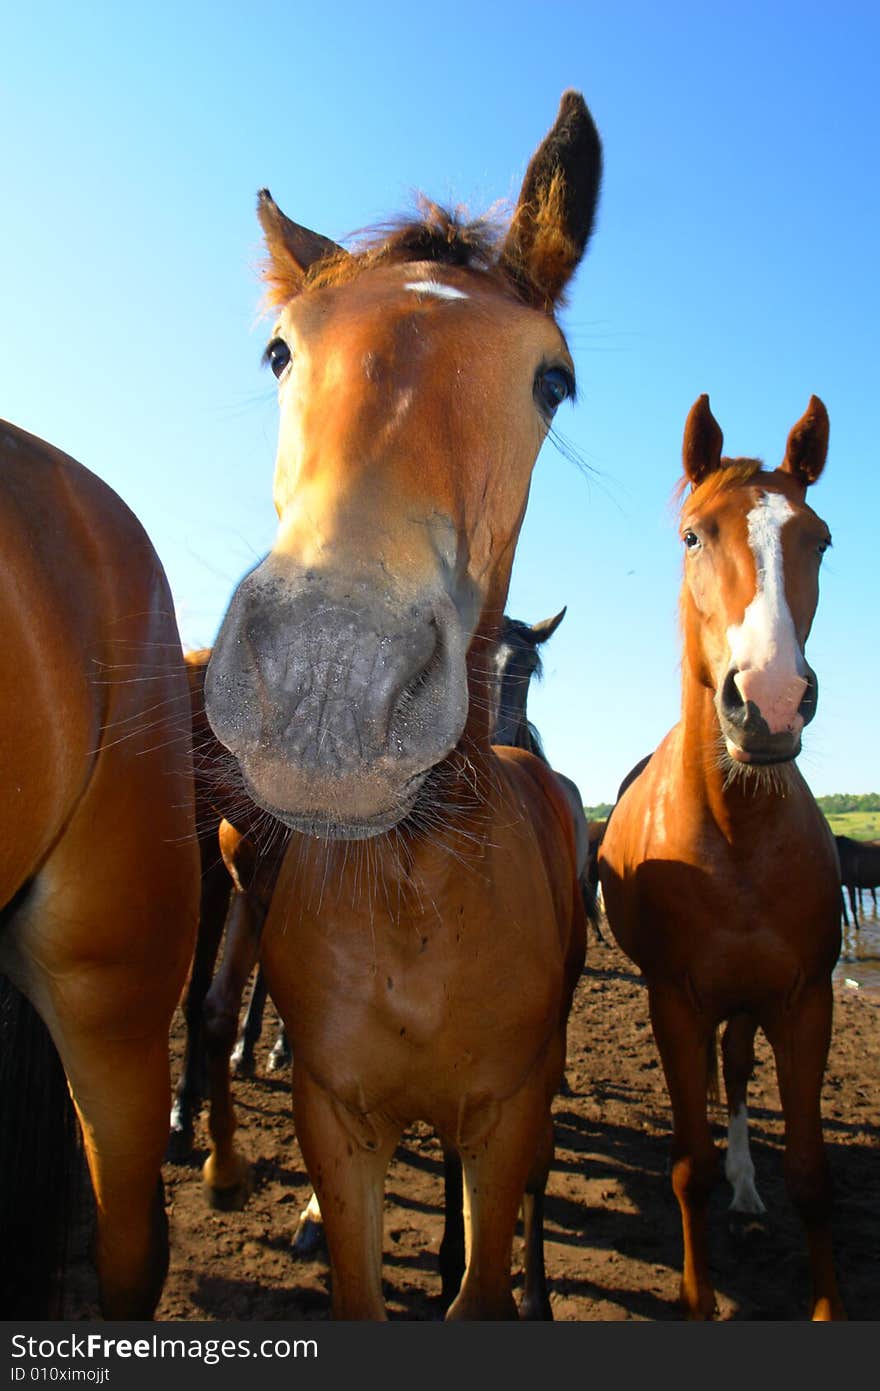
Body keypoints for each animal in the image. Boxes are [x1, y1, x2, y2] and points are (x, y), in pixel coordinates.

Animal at [597, 392, 845, 1313]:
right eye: (693, 536)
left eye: (819, 539)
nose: (769, 698)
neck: (736, 838)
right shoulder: (674, 1000)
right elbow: (685, 1170)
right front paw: (698, 1295)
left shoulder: (806, 1000)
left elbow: (811, 1176)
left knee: (735, 1072)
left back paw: (746, 1180)